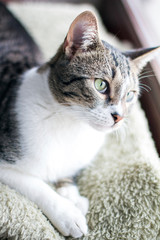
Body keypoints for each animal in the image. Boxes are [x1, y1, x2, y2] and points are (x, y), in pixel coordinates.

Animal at [0, 2, 160, 239]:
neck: (72, 124)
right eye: (101, 85)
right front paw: (68, 213)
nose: (119, 116)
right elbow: (34, 183)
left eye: (130, 95)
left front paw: (71, 195)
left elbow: (68, 172)